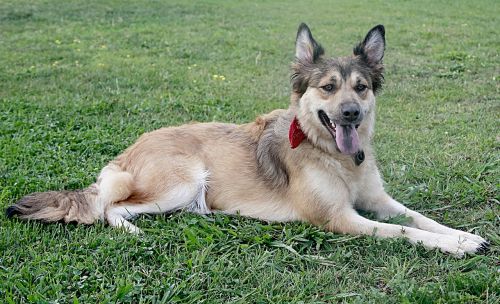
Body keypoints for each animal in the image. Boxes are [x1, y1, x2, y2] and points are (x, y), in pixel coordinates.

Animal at [4, 23, 488, 256]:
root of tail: (128, 152)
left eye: (361, 87)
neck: (328, 153)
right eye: (328, 88)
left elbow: (418, 218)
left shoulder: (379, 201)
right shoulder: (341, 219)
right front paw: (455, 247)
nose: (350, 114)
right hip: (181, 180)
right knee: (110, 208)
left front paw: (464, 235)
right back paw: (133, 230)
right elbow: (404, 232)